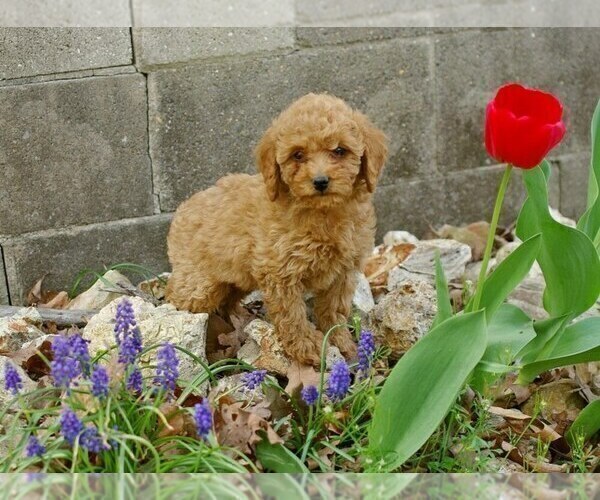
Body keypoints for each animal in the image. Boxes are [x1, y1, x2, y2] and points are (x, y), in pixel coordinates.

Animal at [165, 93, 390, 364]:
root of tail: (182, 210)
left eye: (339, 150)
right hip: (199, 284)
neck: (323, 213)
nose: (320, 181)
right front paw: (307, 347)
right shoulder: (281, 272)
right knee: (177, 296)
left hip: (236, 279)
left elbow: (333, 310)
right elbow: (292, 314)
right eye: (298, 155)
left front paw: (341, 343)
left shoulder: (343, 272)